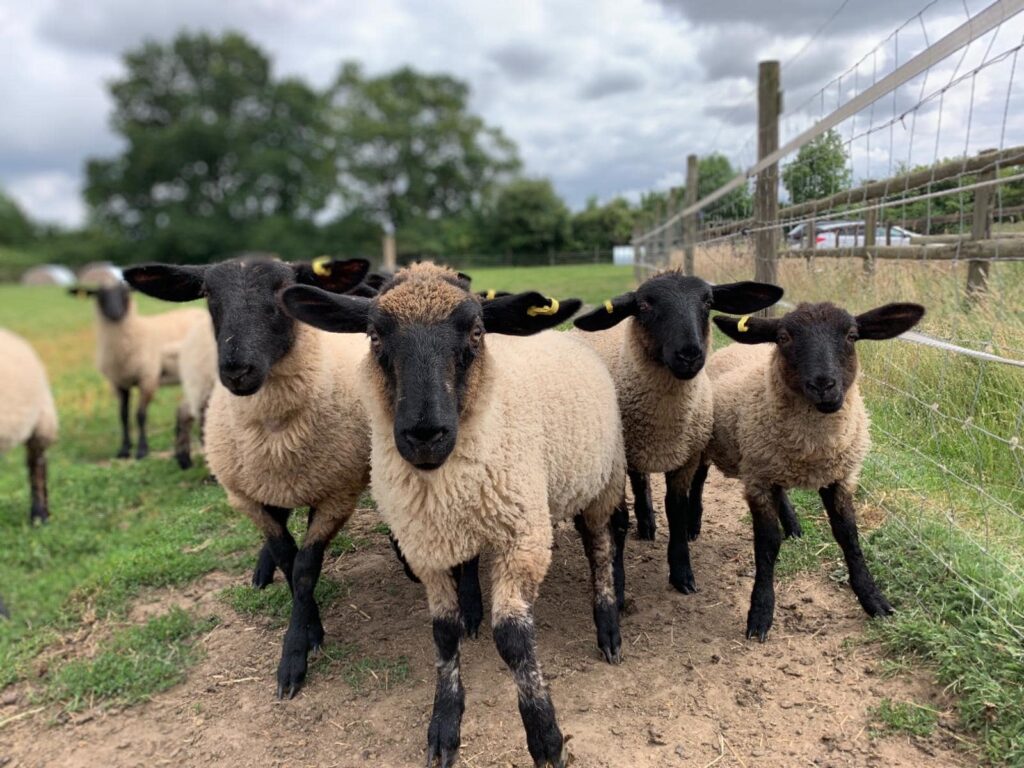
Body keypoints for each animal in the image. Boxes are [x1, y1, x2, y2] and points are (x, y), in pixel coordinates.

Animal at [69, 282, 205, 459]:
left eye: (125, 293)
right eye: (100, 294)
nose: (115, 313)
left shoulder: (147, 378)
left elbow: (140, 415)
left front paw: (142, 450)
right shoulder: (118, 382)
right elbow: (123, 415)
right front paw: (124, 449)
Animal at [282, 262, 627, 768]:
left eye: (477, 332)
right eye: (374, 336)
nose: (425, 434)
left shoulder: (522, 537)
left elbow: (514, 640)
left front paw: (546, 738)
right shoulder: (424, 544)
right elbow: (443, 635)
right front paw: (444, 724)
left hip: (603, 479)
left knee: (598, 547)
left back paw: (608, 626)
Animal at [572, 271, 783, 594]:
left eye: (708, 301)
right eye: (644, 305)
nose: (690, 354)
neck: (664, 424)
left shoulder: (687, 455)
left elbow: (677, 510)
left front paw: (682, 571)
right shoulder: (618, 460)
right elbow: (618, 520)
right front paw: (617, 580)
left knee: (698, 482)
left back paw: (691, 523)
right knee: (640, 479)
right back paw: (646, 522)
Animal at [698, 301, 925, 641]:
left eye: (852, 335)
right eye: (783, 337)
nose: (823, 385)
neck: (812, 449)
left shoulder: (838, 477)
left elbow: (848, 536)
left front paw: (874, 600)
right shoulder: (757, 481)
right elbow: (767, 545)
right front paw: (760, 613)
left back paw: (792, 525)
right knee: (696, 480)